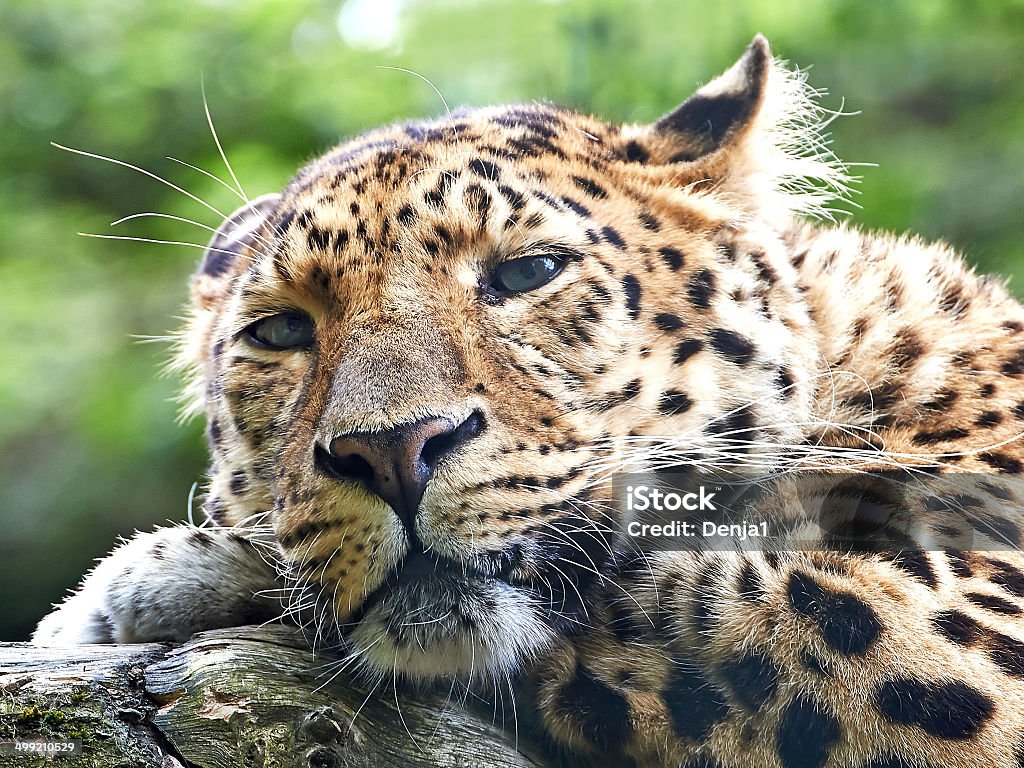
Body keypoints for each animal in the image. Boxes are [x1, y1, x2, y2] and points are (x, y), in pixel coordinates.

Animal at [29, 37, 1024, 768]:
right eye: (280, 331)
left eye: (527, 272)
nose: (391, 452)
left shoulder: (962, 624)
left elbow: (688, 604)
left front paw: (158, 580)